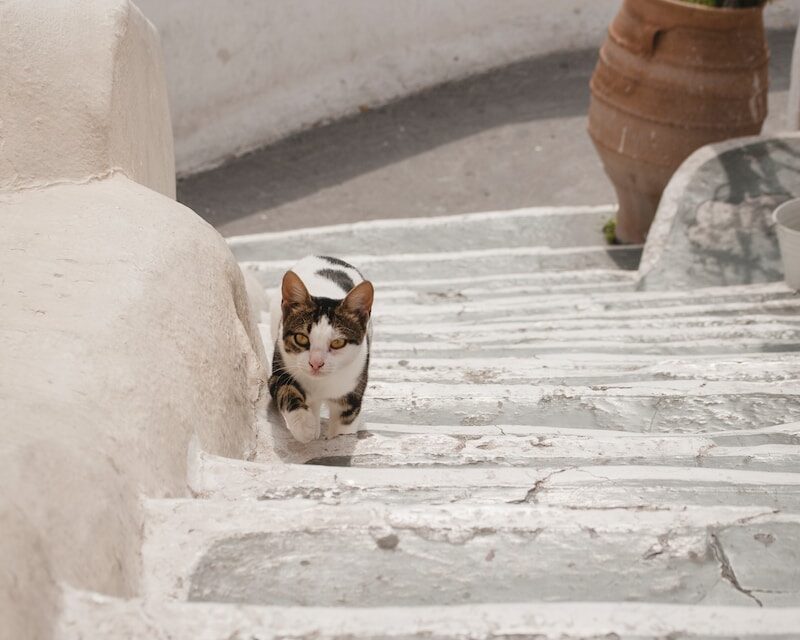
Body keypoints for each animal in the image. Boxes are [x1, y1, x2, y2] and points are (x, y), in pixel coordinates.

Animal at [266, 252, 372, 442]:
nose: (316, 363)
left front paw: (340, 439)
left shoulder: (352, 392)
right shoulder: (279, 370)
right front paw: (304, 426)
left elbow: (344, 425)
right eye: (301, 338)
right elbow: (286, 389)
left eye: (338, 343)